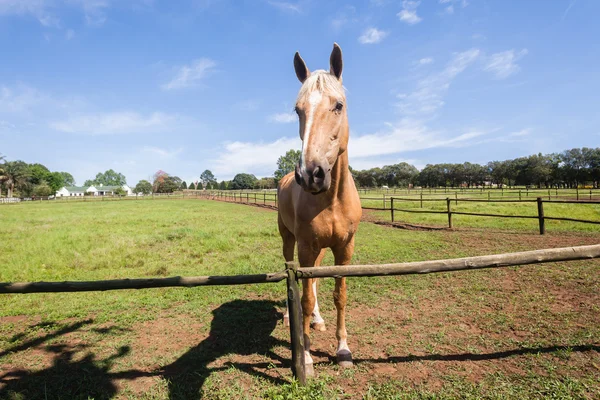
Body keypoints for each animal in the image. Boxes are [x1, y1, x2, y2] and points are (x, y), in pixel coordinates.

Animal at [276, 43, 360, 376]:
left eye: (338, 105)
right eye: (298, 110)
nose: (310, 174)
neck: (333, 199)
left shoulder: (344, 248)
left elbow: (339, 295)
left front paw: (343, 349)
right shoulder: (306, 247)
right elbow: (304, 298)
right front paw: (307, 357)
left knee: (314, 284)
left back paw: (319, 320)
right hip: (290, 241)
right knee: (297, 280)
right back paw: (292, 318)